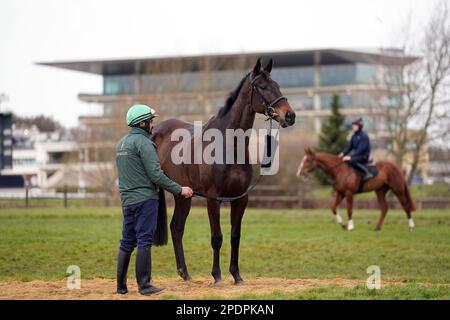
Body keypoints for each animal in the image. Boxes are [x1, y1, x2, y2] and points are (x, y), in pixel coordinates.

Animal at [153, 58, 298, 284]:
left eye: (278, 86)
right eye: (262, 87)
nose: (289, 116)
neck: (229, 146)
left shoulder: (240, 198)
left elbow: (235, 236)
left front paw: (236, 275)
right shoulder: (214, 199)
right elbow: (217, 237)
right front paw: (217, 276)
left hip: (183, 195)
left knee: (176, 229)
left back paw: (185, 274)